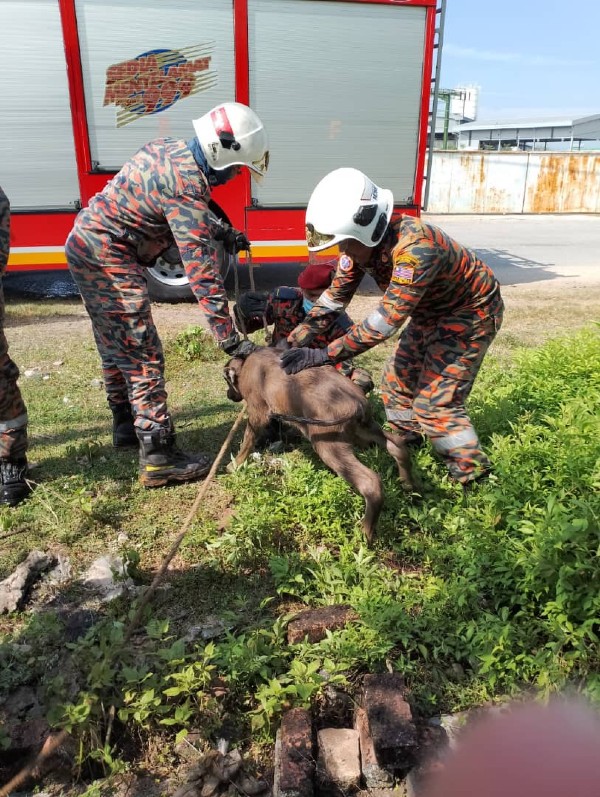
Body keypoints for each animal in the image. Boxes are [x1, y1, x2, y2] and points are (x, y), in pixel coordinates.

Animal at [223, 346, 414, 540]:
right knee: (397, 445)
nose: (229, 395)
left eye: (227, 381)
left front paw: (234, 465)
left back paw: (364, 533)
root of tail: (358, 405)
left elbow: (247, 440)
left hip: (329, 444)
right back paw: (408, 485)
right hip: (366, 428)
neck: (247, 364)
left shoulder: (258, 411)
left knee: (370, 481)